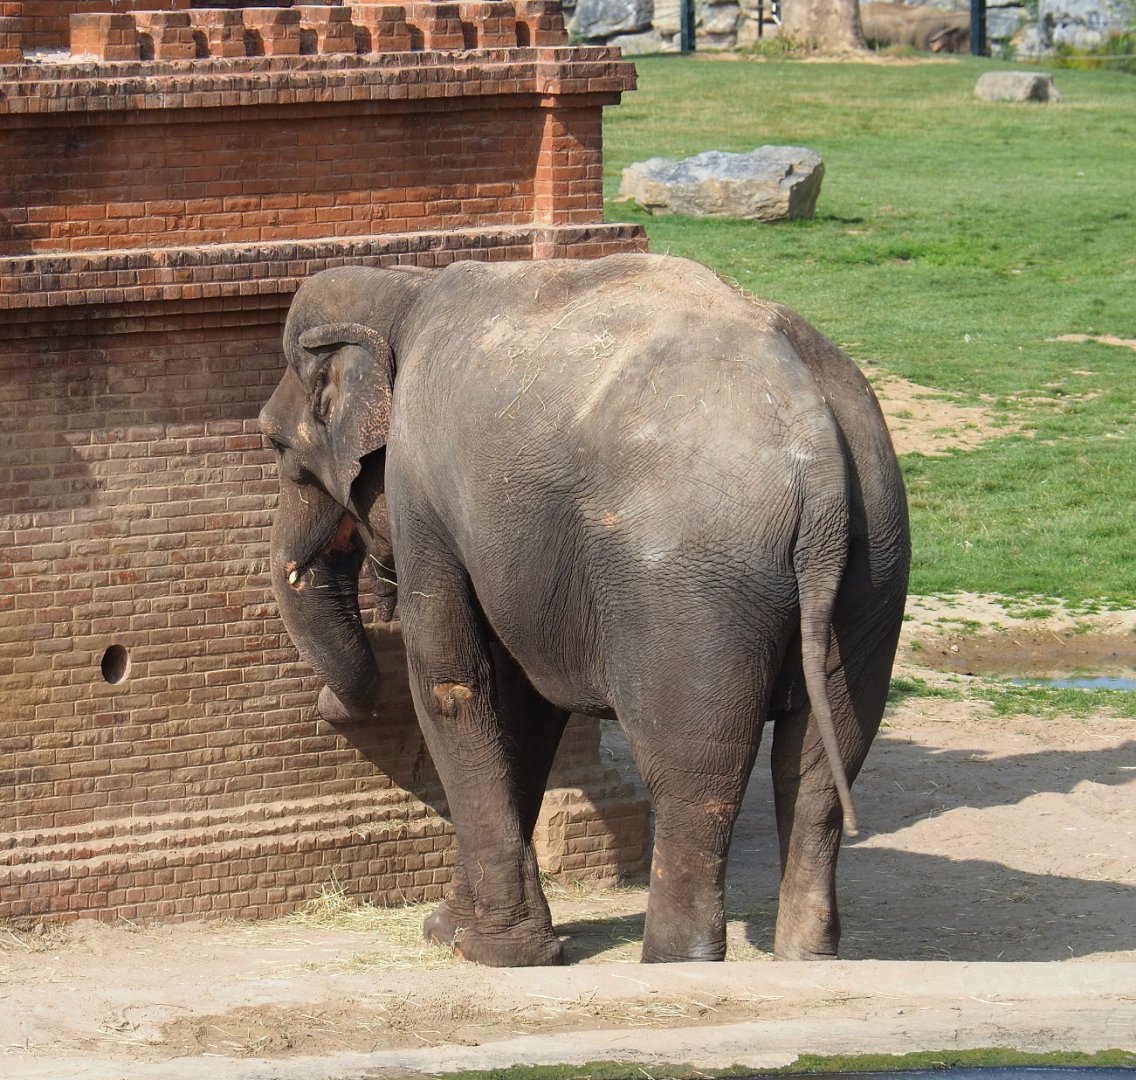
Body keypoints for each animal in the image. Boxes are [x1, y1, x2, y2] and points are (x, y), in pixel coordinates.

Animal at [259, 253, 910, 966]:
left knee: (694, 774)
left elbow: (453, 682)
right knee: (823, 769)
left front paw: (493, 953)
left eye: (277, 447)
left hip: (690, 591)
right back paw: (806, 960)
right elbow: (523, 704)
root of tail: (815, 444)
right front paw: (452, 931)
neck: (407, 285)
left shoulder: (420, 487)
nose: (331, 706)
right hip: (875, 566)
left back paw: (673, 962)